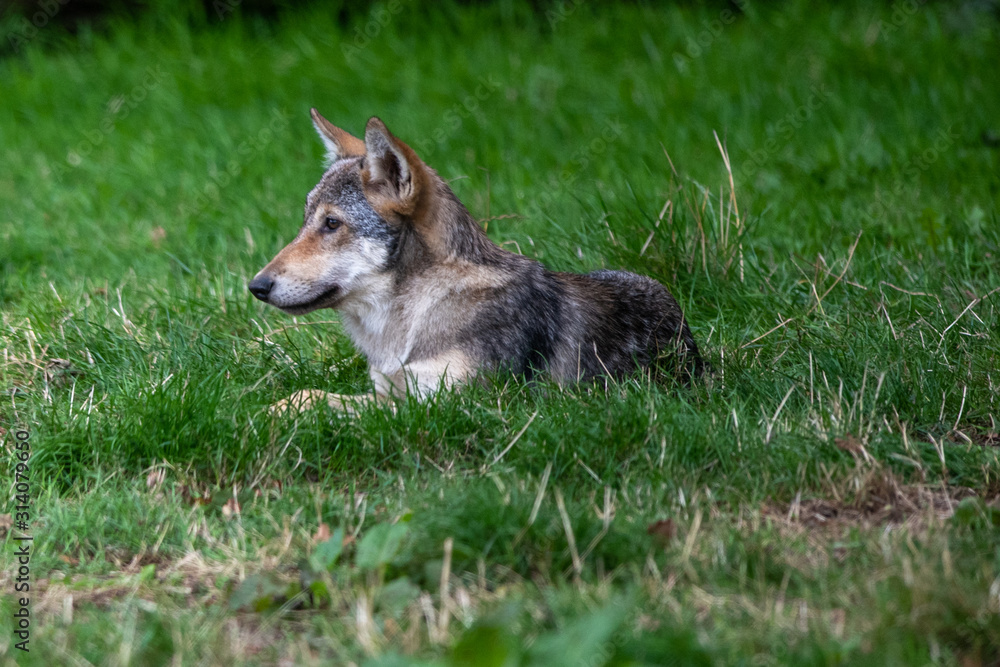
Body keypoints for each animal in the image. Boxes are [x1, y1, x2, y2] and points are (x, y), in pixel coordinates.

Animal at [249, 110, 701, 413]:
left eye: (331, 224)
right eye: (306, 221)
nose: (256, 286)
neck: (408, 320)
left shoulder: (453, 405)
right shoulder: (386, 391)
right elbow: (307, 396)